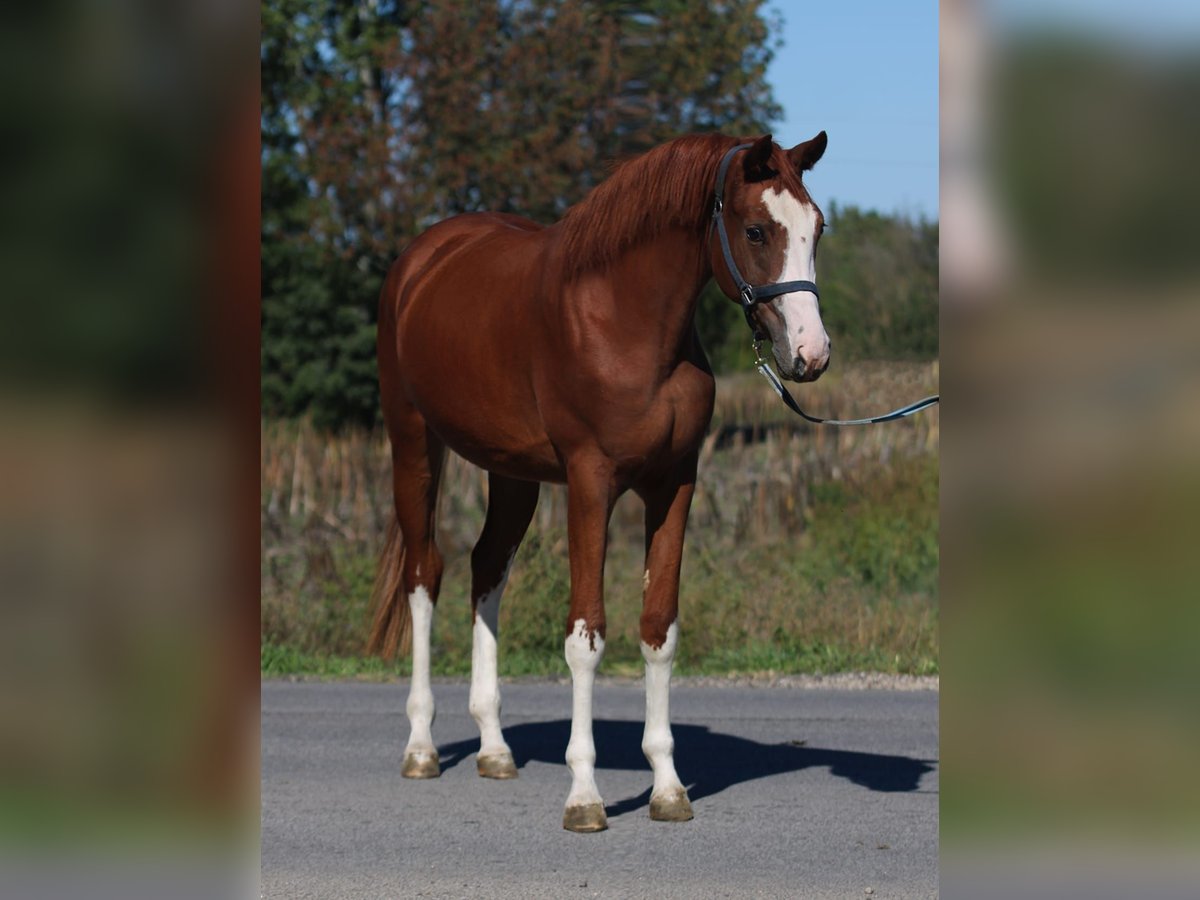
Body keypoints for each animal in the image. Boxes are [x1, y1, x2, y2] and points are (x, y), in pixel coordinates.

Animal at [369, 130, 830, 835]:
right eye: (755, 230)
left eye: (818, 228)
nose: (810, 353)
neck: (624, 320)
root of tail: (420, 260)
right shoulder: (590, 483)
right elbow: (585, 635)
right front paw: (584, 796)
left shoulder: (675, 484)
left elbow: (658, 629)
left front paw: (667, 788)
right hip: (414, 442)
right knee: (425, 575)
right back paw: (421, 747)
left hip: (511, 472)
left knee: (486, 569)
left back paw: (494, 749)